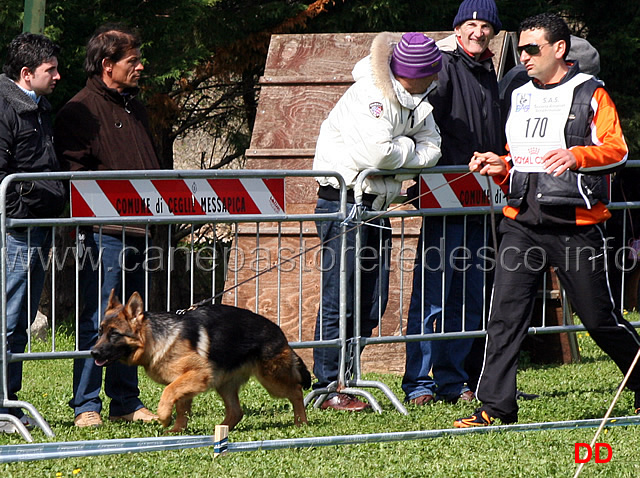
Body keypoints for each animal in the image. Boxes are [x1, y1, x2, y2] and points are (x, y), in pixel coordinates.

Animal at [91, 292, 312, 434]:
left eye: (114, 334)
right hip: (224, 384)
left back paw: (301, 422)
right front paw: (177, 430)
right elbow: (181, 407)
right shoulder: (184, 381)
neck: (157, 338)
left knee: (296, 391)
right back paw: (221, 431)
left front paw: (164, 417)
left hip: (271, 380)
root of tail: (280, 332)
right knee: (237, 412)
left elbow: (168, 392)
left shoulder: (199, 374)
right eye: (100, 332)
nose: (93, 352)